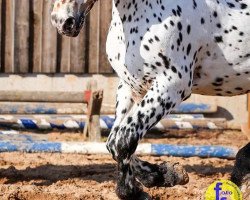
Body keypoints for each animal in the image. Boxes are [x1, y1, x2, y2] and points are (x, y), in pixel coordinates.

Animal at [50, 0, 250, 198]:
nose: (62, 21)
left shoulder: (171, 85)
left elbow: (123, 139)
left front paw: (131, 191)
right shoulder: (131, 87)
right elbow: (114, 142)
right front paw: (165, 175)